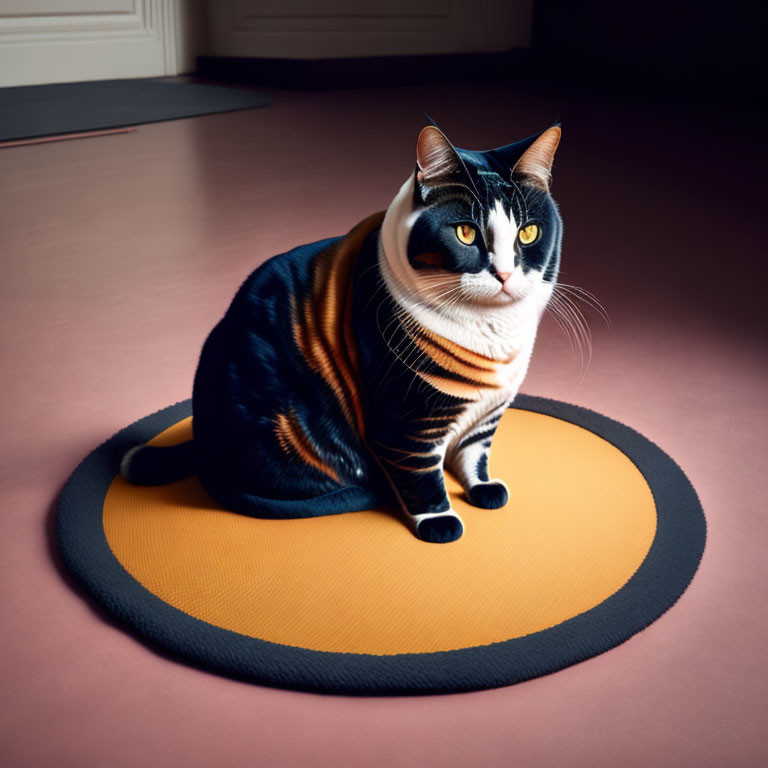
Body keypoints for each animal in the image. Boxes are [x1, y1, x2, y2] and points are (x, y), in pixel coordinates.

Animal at [123, 123, 560, 544]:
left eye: (528, 233)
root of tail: (202, 444)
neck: (495, 334)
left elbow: (475, 450)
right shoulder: (403, 420)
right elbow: (420, 473)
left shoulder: (488, 412)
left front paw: (482, 486)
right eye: (466, 234)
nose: (505, 274)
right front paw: (438, 520)